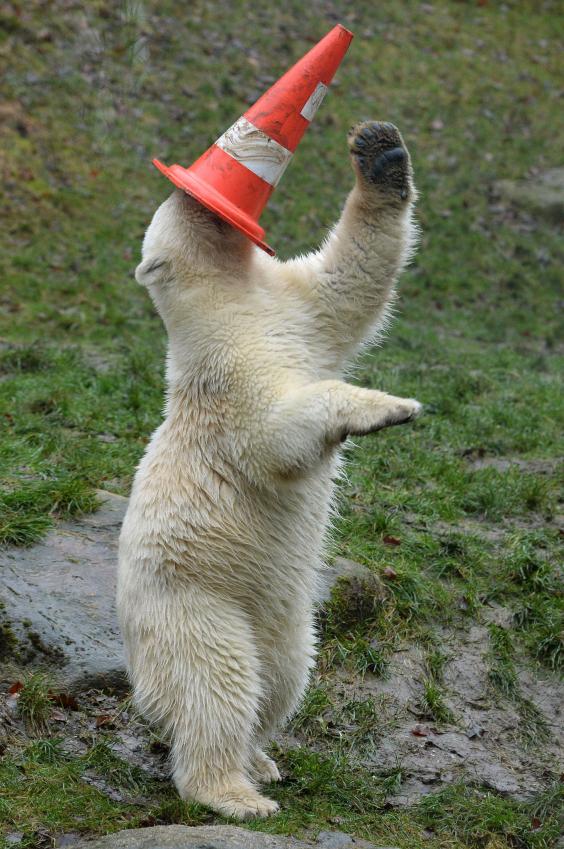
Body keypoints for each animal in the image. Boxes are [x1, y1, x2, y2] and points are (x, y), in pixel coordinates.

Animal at [117, 120, 421, 819]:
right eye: (185, 197)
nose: (208, 198)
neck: (234, 304)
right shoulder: (229, 374)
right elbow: (271, 435)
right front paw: (387, 408)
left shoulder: (292, 310)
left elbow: (348, 283)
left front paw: (380, 151)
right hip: (193, 603)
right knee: (217, 684)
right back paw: (234, 793)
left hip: (283, 622)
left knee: (283, 674)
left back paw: (262, 759)